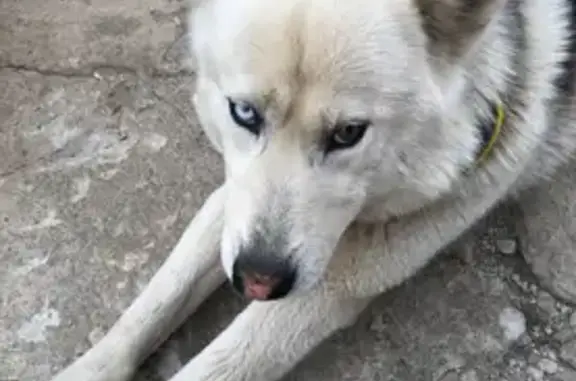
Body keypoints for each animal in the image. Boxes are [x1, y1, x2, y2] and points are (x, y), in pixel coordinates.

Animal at [50, 0, 576, 378]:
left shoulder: (331, 284)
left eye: (348, 133)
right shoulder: (235, 204)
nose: (258, 279)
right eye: (244, 112)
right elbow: (151, 306)